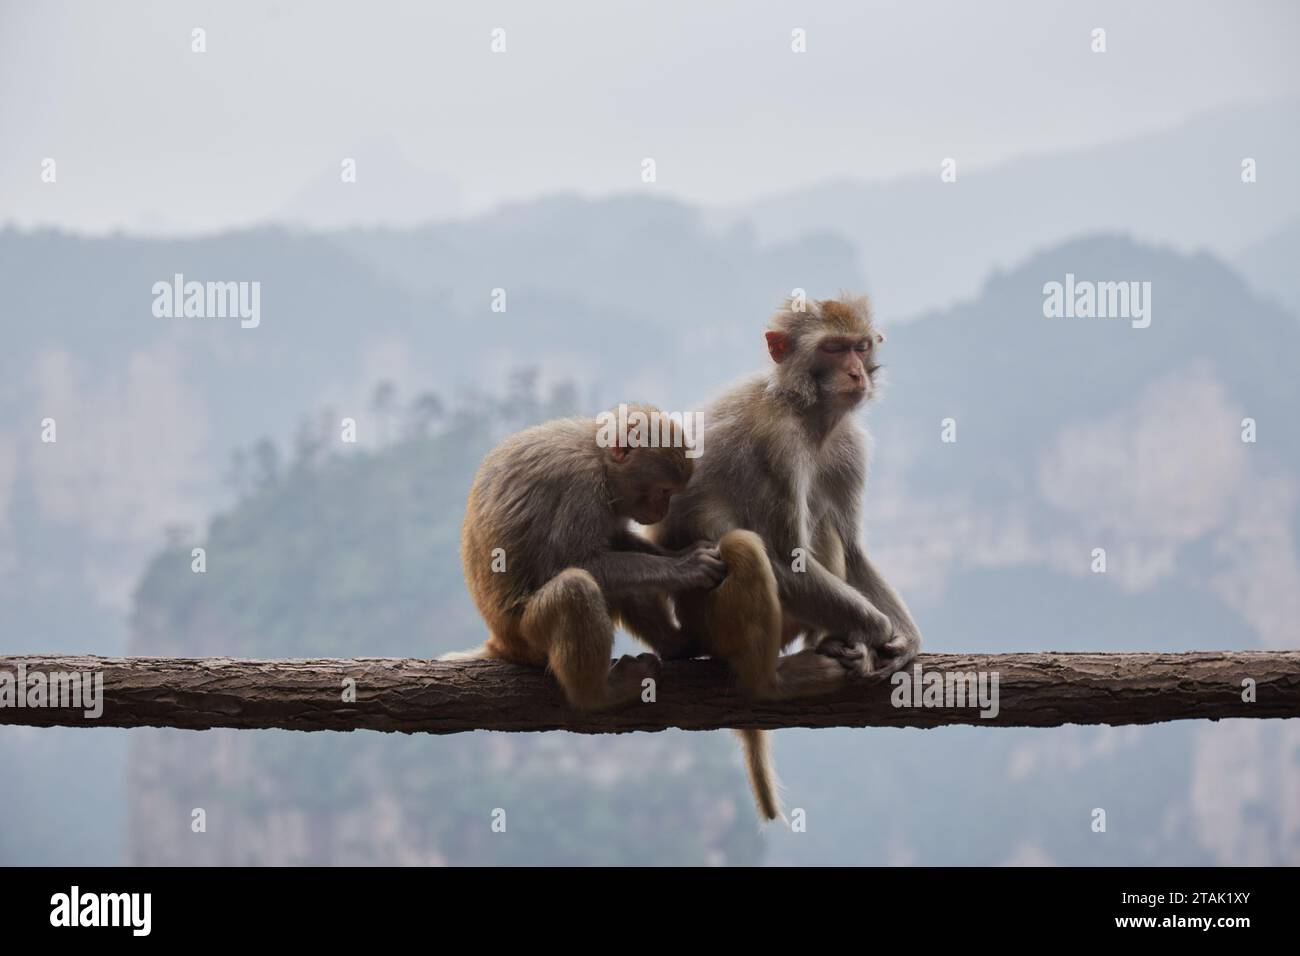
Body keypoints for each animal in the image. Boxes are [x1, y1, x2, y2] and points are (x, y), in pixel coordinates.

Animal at [444, 403, 733, 712]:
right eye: (663, 491)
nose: (662, 511)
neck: (599, 459)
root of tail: (500, 640)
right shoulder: (581, 486)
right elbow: (576, 562)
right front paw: (686, 566)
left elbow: (616, 539)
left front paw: (685, 553)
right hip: (527, 637)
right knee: (575, 588)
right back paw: (599, 695)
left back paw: (675, 645)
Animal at [629, 293, 925, 822]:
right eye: (832, 348)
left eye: (860, 346)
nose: (856, 373)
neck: (806, 411)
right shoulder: (778, 446)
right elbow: (789, 561)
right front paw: (878, 630)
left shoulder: (849, 444)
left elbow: (852, 549)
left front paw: (906, 638)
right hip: (713, 623)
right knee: (752, 549)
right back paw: (776, 679)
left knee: (825, 523)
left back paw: (832, 641)